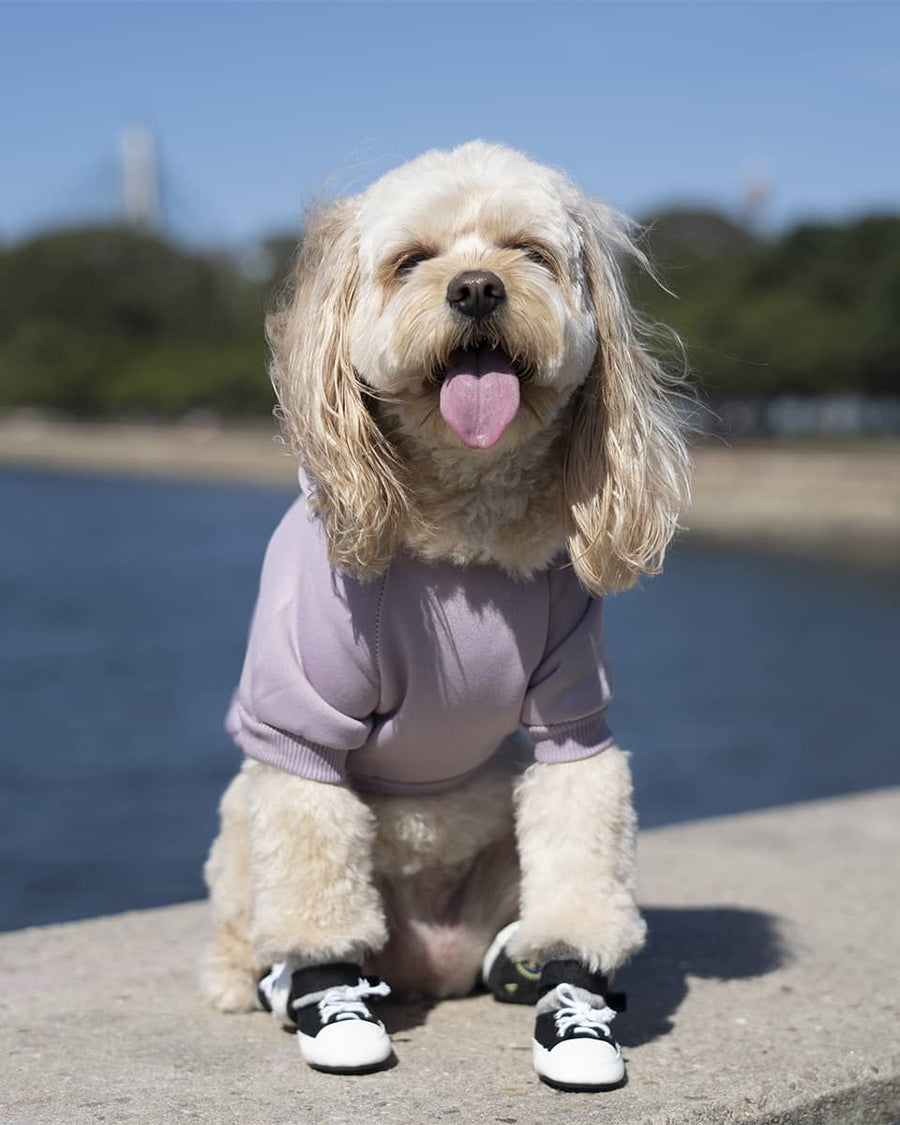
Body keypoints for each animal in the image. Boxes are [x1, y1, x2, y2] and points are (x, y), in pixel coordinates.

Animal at [203, 140, 688, 1089]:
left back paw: (527, 966)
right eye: (411, 260)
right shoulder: (297, 725)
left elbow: (582, 840)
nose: (475, 289)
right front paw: (326, 996)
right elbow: (312, 862)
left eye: (528, 252)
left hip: (500, 861)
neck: (462, 528)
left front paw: (576, 993)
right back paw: (259, 976)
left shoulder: (573, 717)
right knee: (264, 908)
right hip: (244, 822)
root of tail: (428, 958)